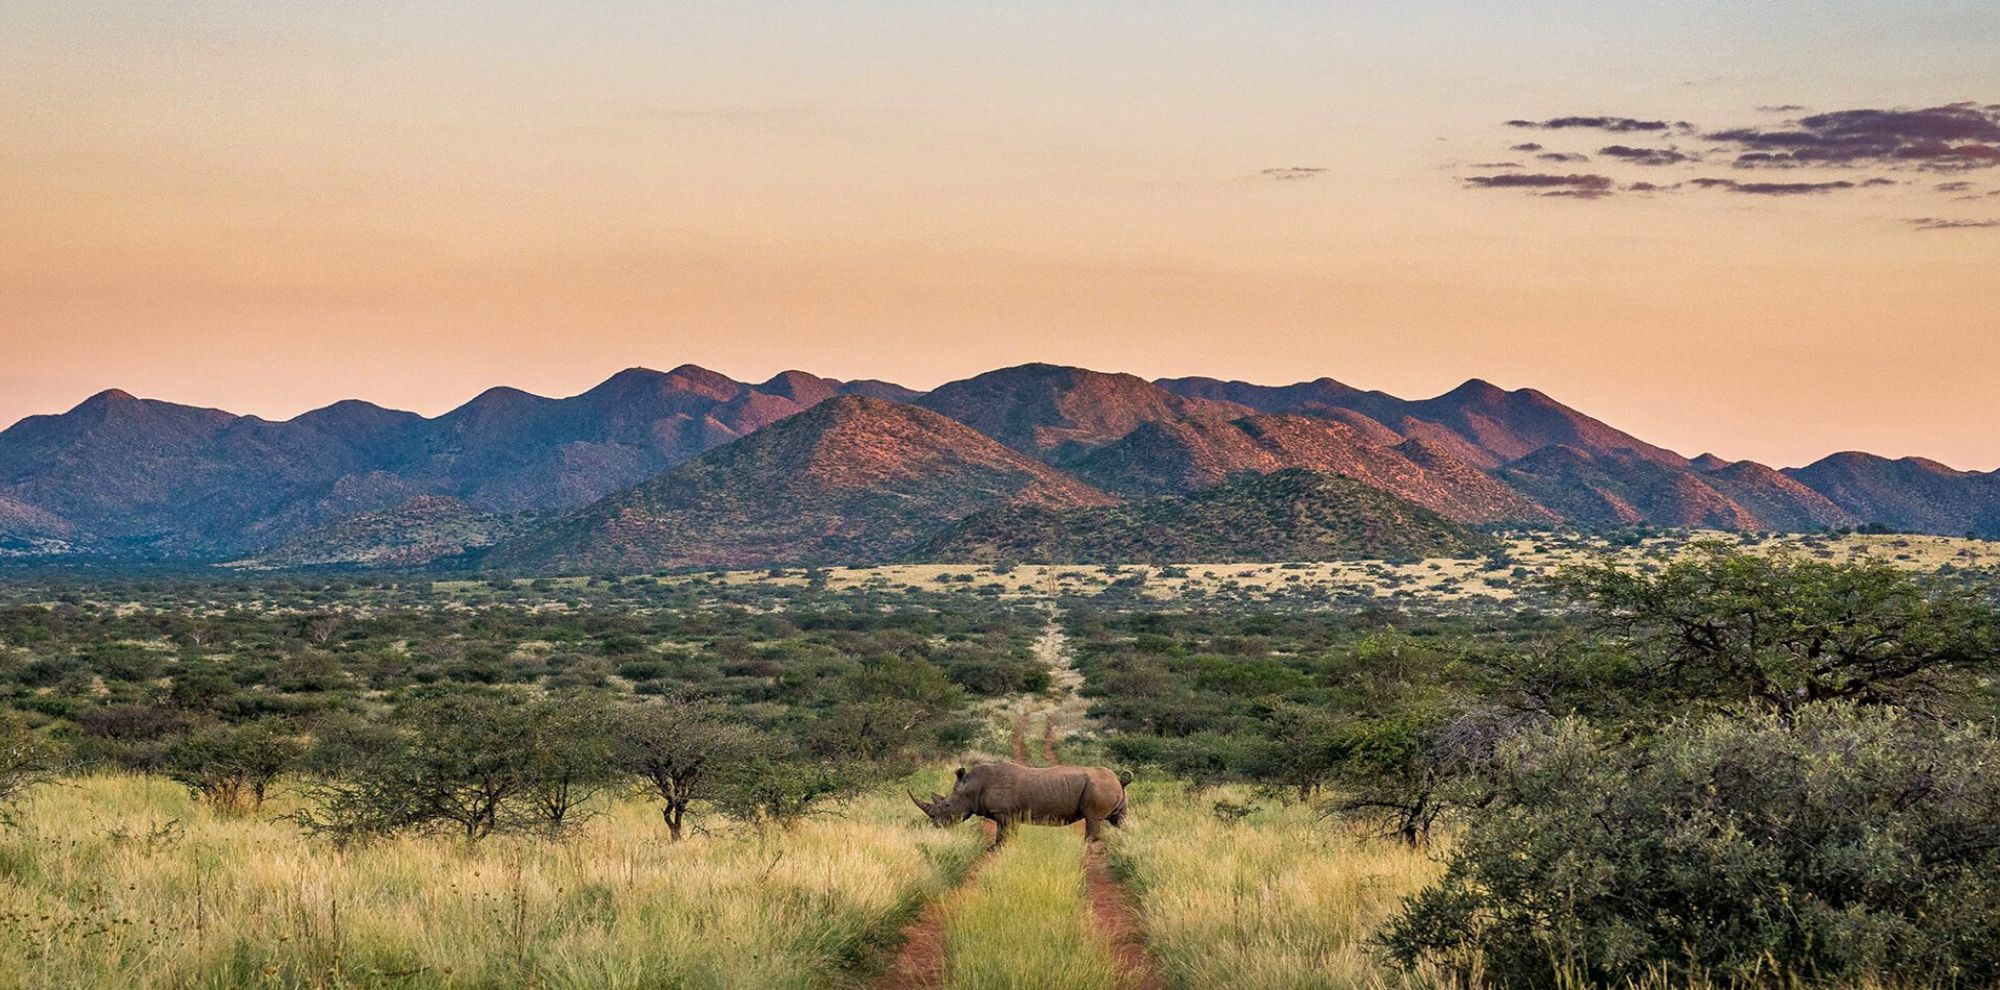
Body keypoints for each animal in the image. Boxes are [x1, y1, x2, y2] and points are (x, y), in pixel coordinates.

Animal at [910, 762, 1132, 845]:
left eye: (947, 806)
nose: (935, 825)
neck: (971, 788)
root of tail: (1119, 779)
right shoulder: (1011, 814)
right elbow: (1008, 833)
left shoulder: (1004, 812)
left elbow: (1003, 833)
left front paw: (995, 848)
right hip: (1111, 789)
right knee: (1119, 820)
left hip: (1099, 786)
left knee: (1093, 818)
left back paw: (1086, 845)